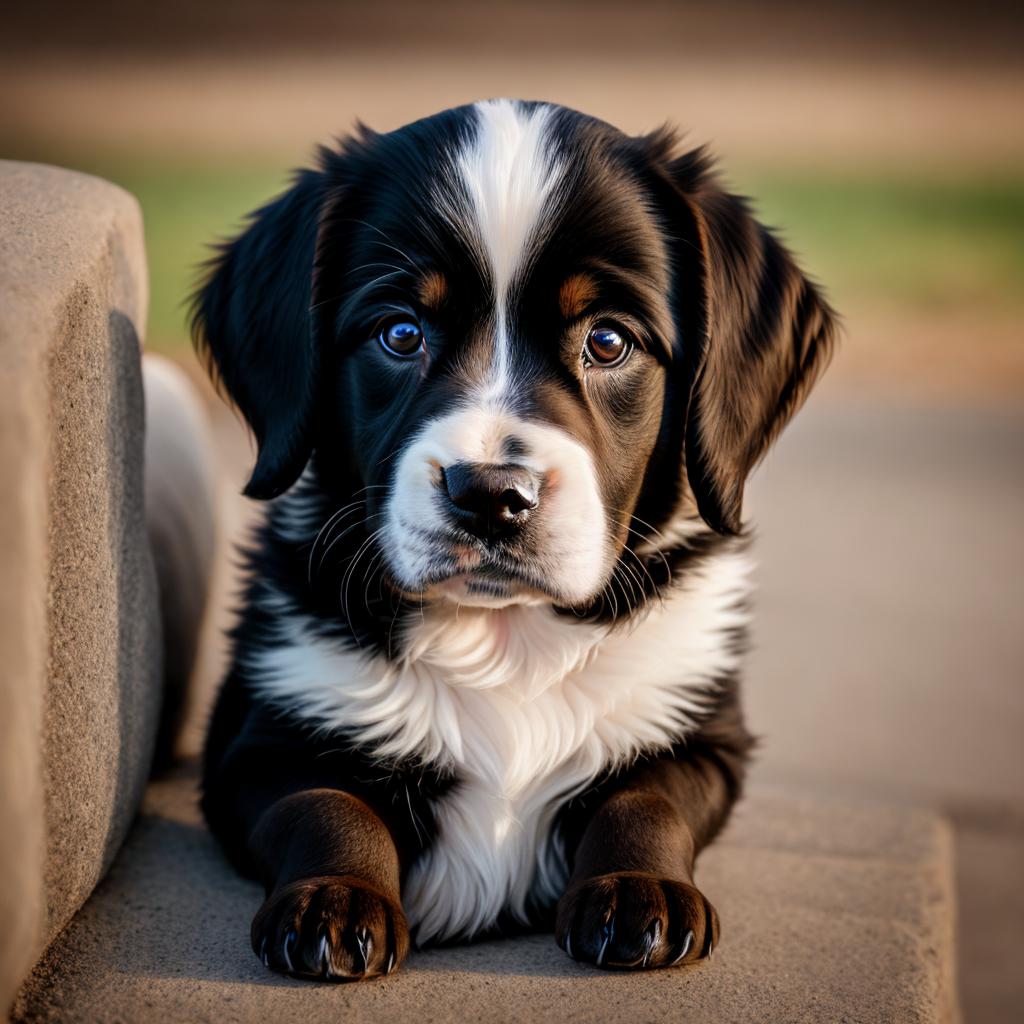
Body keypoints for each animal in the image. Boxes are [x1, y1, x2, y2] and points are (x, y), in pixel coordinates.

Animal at [192, 99, 831, 978]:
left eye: (608, 340)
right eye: (400, 334)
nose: (491, 495)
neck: (507, 643)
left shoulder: (701, 733)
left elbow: (647, 799)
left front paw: (641, 889)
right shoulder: (261, 739)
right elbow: (325, 805)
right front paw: (334, 900)